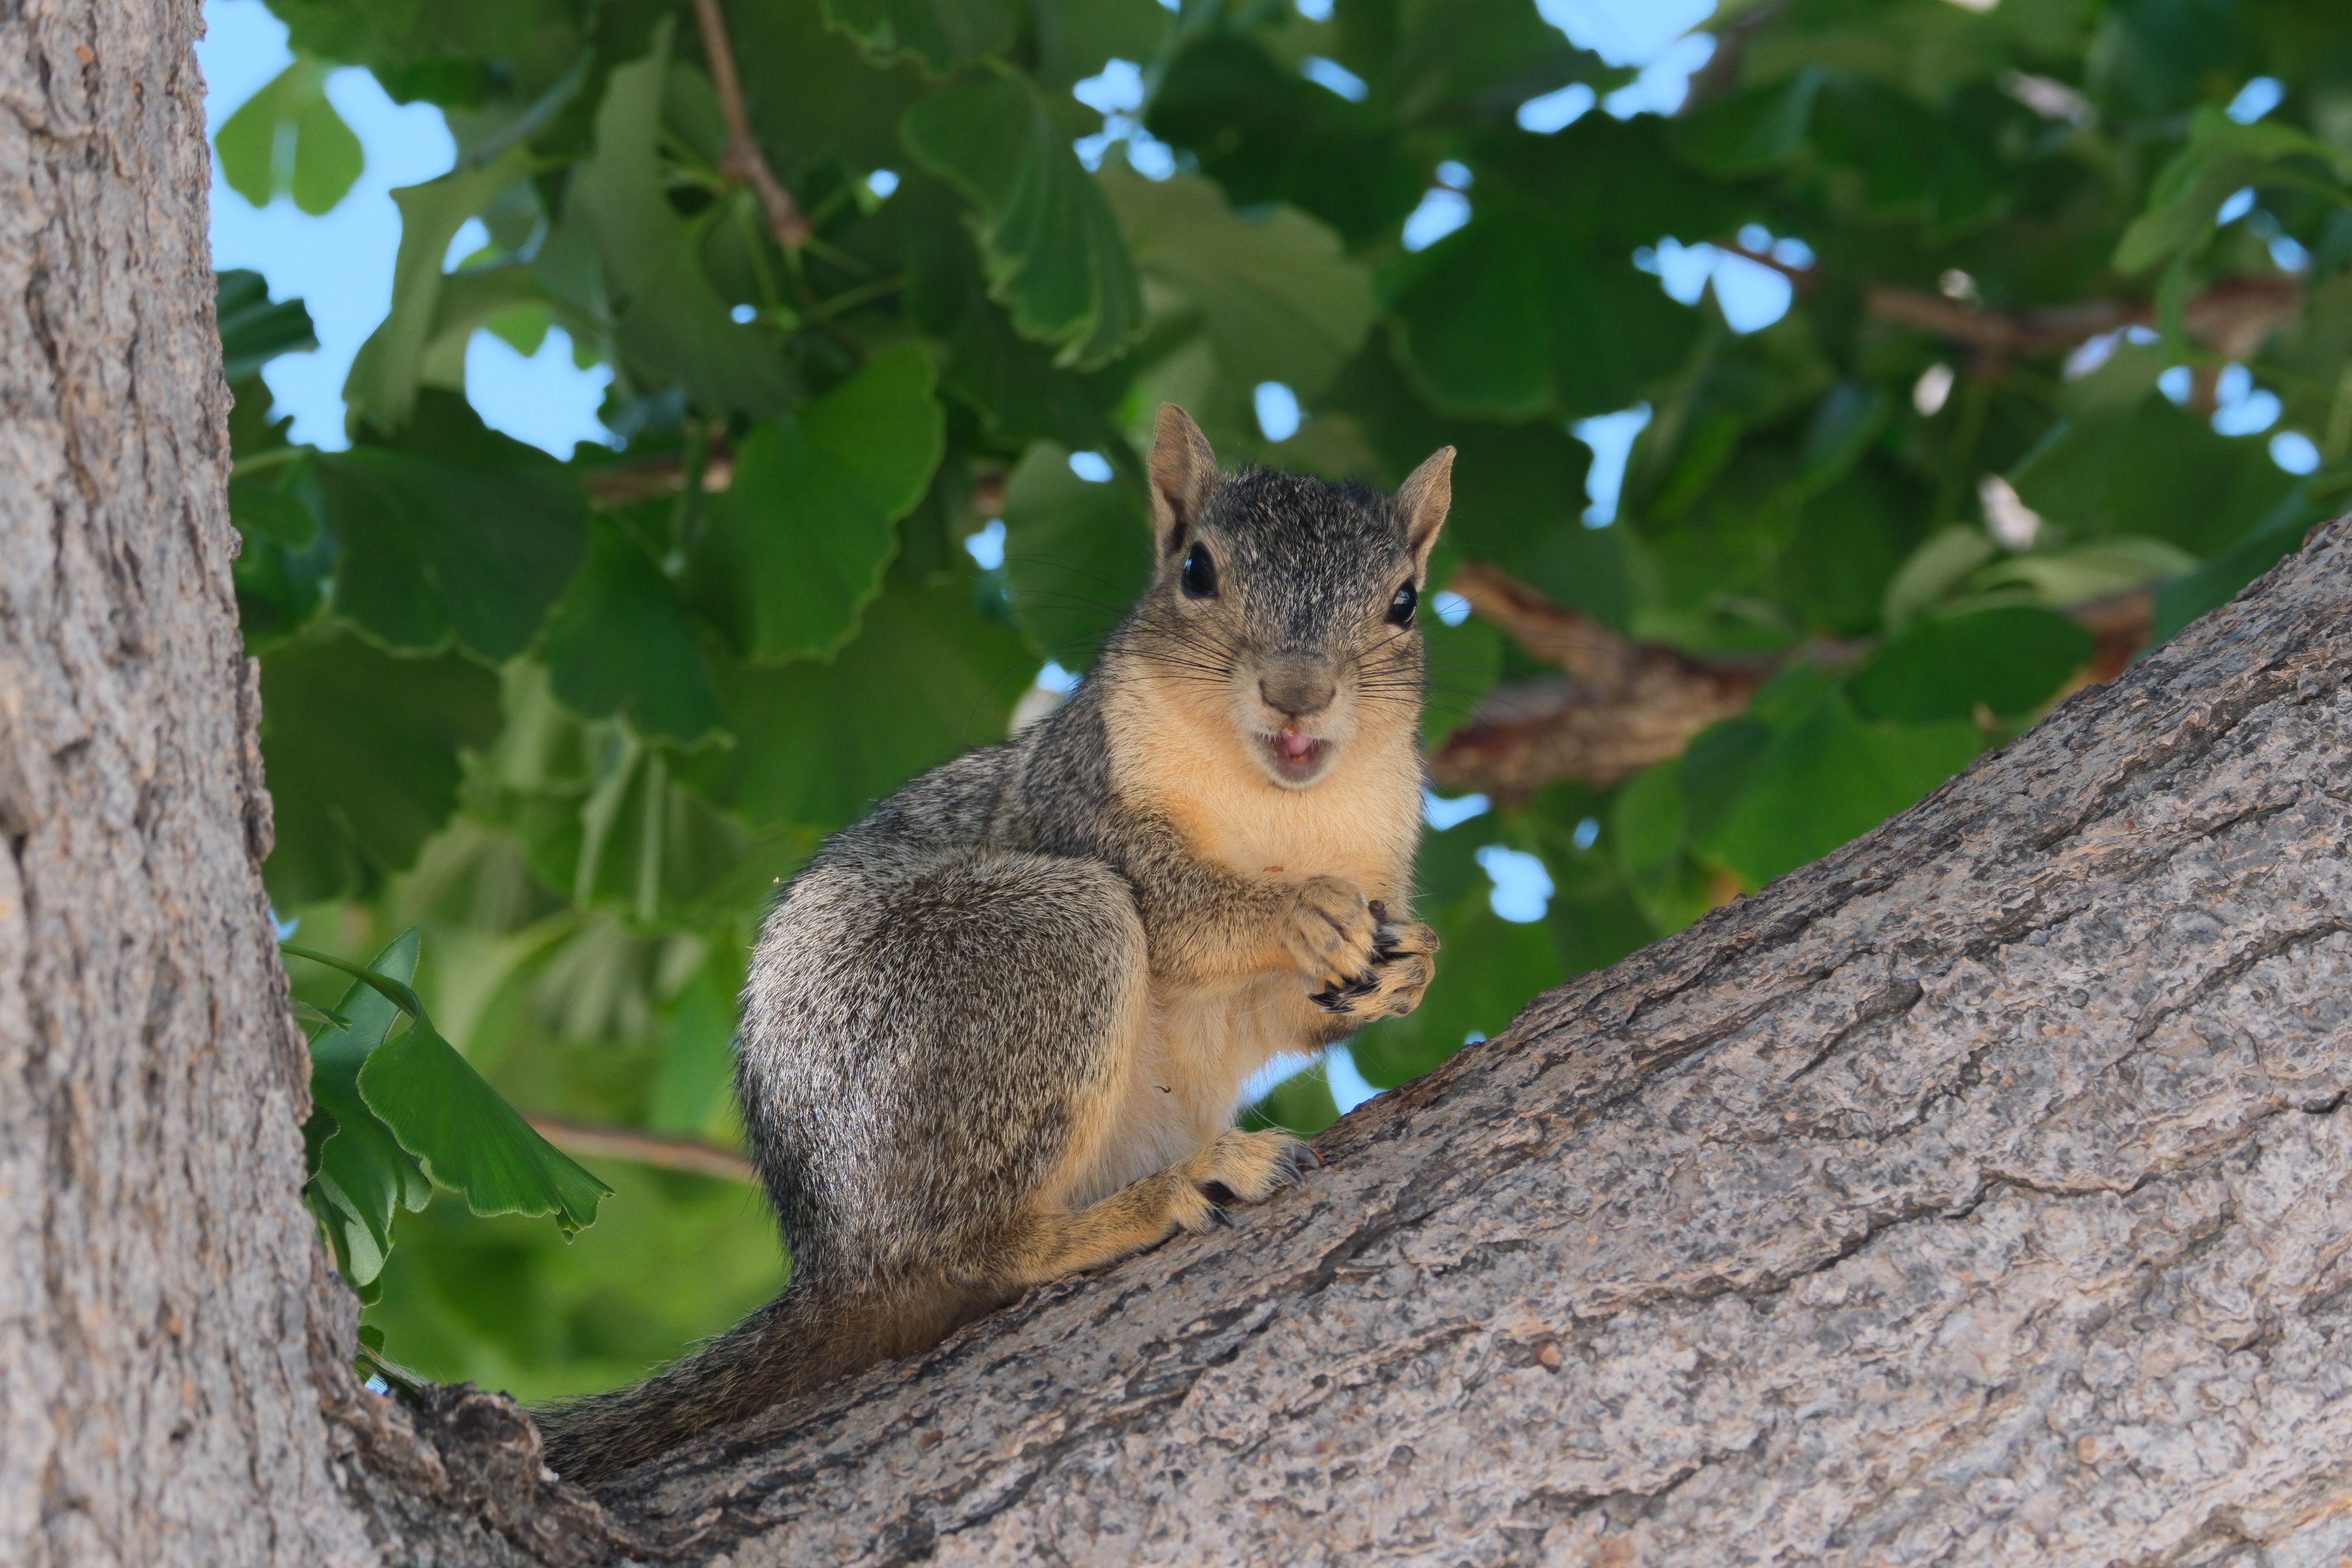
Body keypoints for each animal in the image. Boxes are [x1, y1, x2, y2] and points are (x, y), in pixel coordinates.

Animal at [538, 404, 1449, 1485]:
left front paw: (1410, 969)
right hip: (1039, 948)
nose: (1297, 693)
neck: (1280, 810)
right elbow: (1181, 910)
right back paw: (1158, 1200)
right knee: (972, 1253)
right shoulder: (1077, 802)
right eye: (1195, 571)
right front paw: (1296, 915)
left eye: (1404, 601)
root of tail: (837, 1256)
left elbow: (1272, 1012)